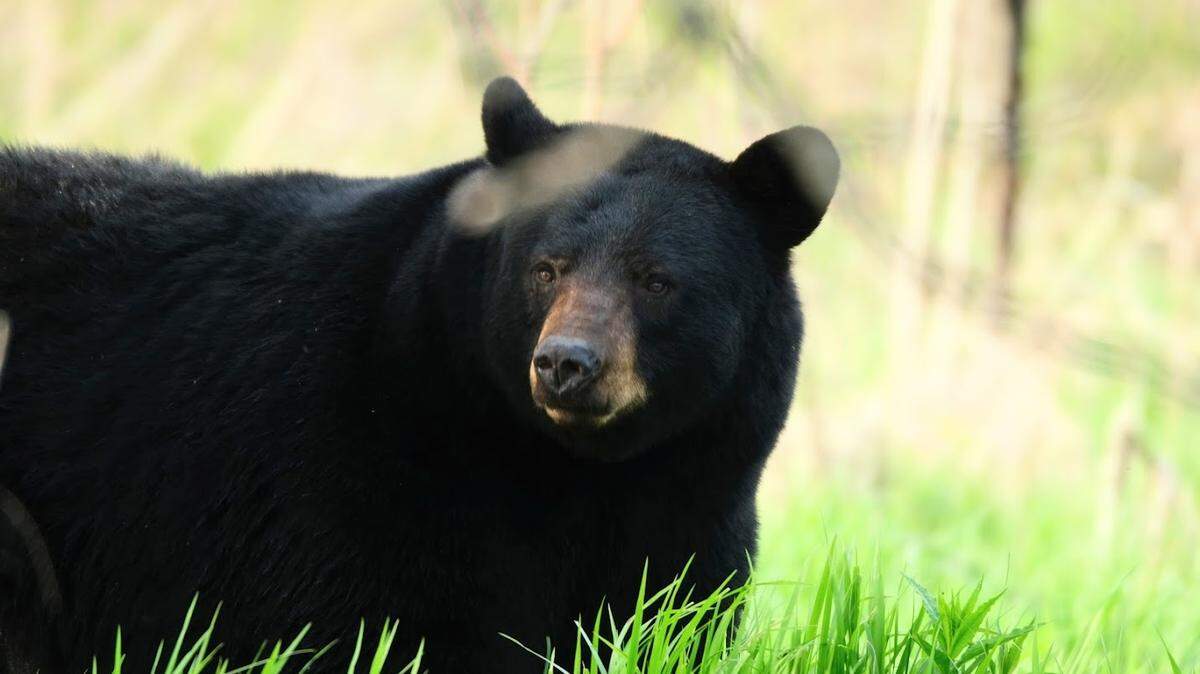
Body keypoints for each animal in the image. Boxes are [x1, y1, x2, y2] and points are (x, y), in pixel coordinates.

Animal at [0, 77, 838, 673]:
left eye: (657, 280)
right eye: (545, 268)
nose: (565, 363)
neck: (569, 471)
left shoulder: (697, 492)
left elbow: (672, 614)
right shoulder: (355, 474)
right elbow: (383, 627)